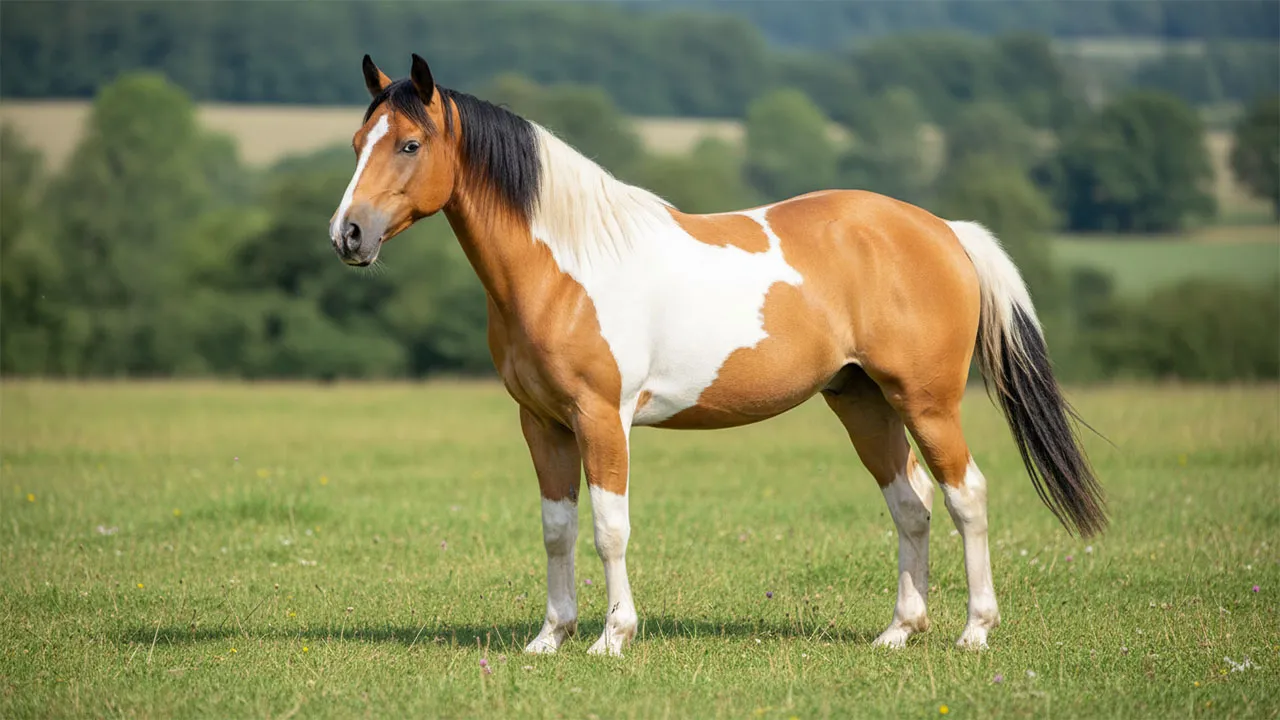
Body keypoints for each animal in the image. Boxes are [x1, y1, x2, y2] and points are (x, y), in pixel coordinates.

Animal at [330, 54, 1107, 657]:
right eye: (358, 140)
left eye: (408, 145)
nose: (348, 234)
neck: (567, 265)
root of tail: (943, 229)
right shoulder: (542, 423)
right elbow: (557, 529)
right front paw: (550, 637)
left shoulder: (601, 417)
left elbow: (609, 528)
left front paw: (612, 637)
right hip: (863, 402)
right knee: (910, 504)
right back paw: (897, 632)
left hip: (927, 402)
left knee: (964, 495)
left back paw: (975, 632)